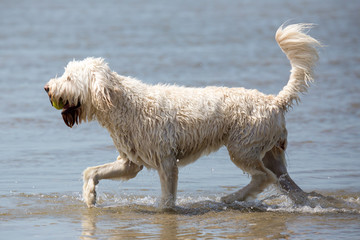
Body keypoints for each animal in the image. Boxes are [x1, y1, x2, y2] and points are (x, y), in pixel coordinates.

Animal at [44, 23, 320, 209]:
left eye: (69, 77)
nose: (47, 87)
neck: (124, 103)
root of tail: (275, 101)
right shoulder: (130, 162)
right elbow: (91, 171)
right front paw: (89, 196)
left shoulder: (166, 160)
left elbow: (167, 199)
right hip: (270, 152)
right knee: (287, 183)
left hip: (243, 148)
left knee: (263, 177)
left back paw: (231, 197)